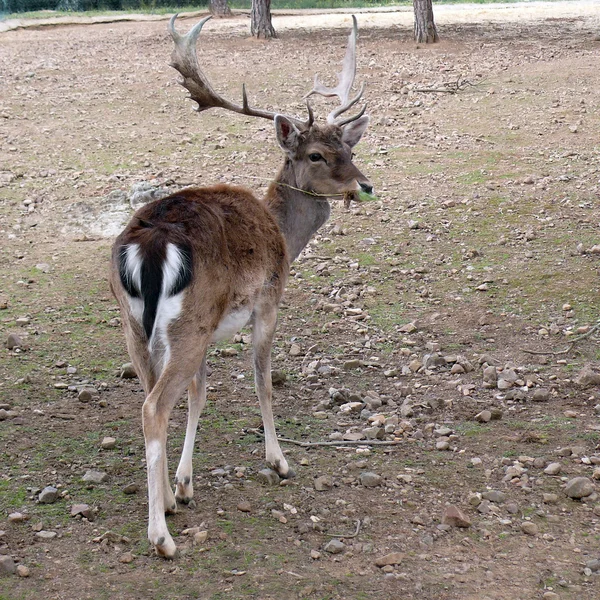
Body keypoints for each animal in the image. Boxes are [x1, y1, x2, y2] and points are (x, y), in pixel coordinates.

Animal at [108, 14, 370, 556]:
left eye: (349, 146)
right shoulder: (268, 301)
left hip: (138, 327)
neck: (285, 234)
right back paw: (161, 538)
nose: (366, 185)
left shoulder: (209, 331)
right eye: (316, 154)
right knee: (152, 407)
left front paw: (182, 486)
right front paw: (279, 460)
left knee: (149, 398)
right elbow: (262, 380)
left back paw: (164, 507)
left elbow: (199, 396)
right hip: (186, 325)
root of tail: (148, 245)